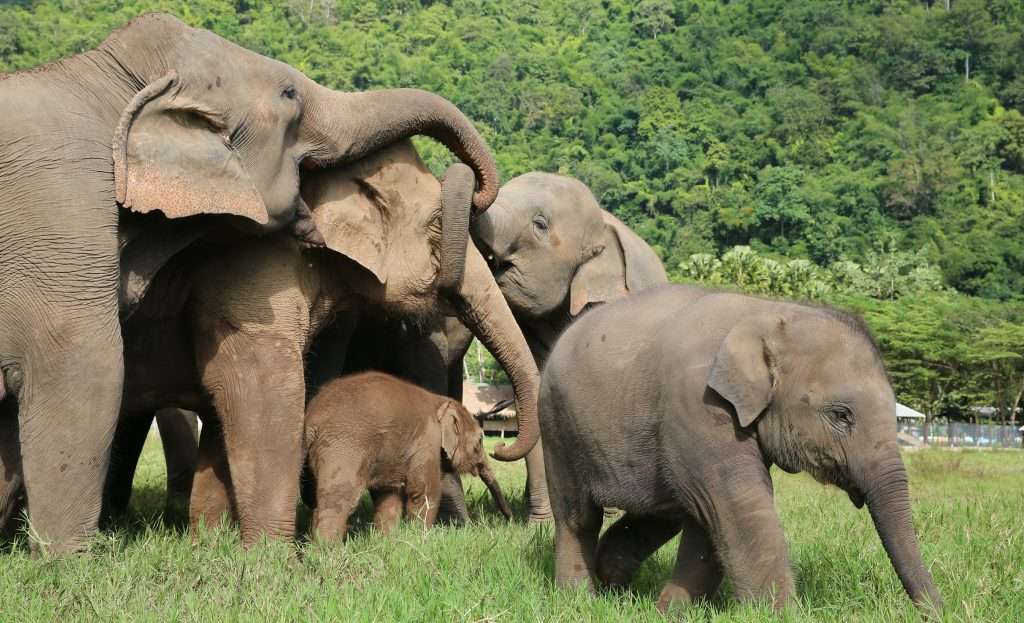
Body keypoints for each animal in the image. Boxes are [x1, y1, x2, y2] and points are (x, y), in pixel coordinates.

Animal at [303, 371, 512, 541]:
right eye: (480, 440)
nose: (510, 520)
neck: (440, 401)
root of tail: (312, 418)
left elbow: (389, 496)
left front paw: (387, 541)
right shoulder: (427, 442)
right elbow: (424, 492)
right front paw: (420, 539)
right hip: (343, 447)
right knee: (339, 502)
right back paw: (327, 553)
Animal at [538, 285, 942, 614]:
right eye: (841, 415)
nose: (939, 611)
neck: (768, 312)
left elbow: (711, 519)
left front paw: (670, 612)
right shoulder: (699, 405)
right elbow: (736, 505)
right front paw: (780, 615)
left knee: (662, 512)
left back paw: (613, 583)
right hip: (557, 427)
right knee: (577, 517)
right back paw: (580, 600)